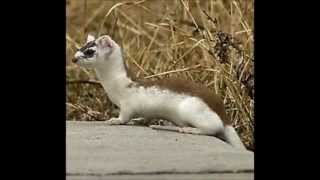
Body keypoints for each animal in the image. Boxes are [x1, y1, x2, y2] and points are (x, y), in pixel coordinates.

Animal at [72, 34, 246, 150]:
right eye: (81, 46)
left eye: (90, 51)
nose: (73, 58)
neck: (114, 86)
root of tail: (221, 109)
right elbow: (144, 116)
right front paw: (139, 120)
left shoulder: (128, 104)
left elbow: (125, 116)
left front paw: (114, 120)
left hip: (190, 108)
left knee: (213, 127)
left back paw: (189, 129)